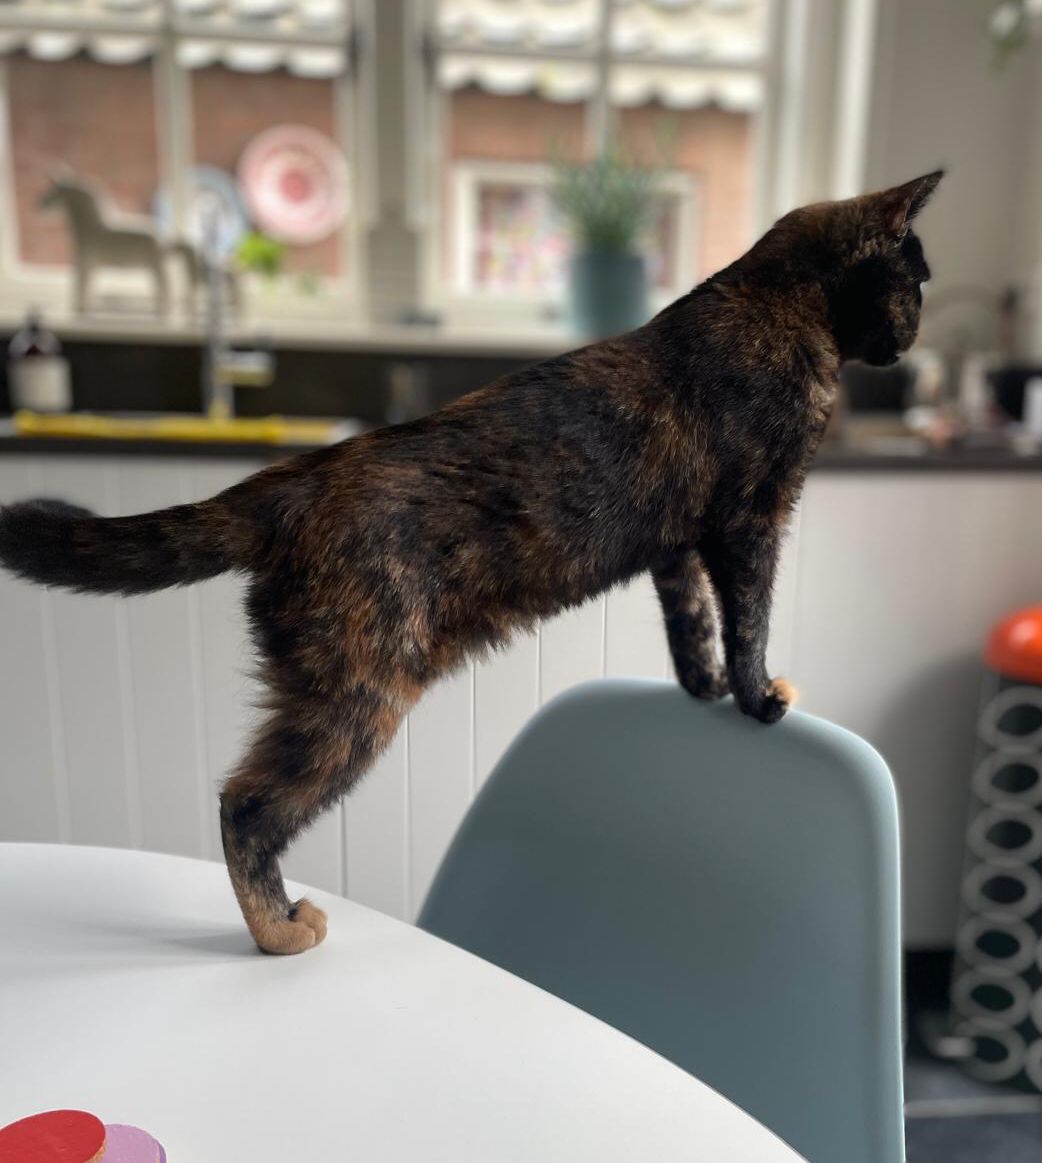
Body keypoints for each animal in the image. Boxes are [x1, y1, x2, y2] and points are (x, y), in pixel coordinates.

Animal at [0, 171, 942, 955]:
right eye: (919, 279)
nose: (915, 340)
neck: (777, 299)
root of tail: (293, 477)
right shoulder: (753, 521)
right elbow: (748, 617)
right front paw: (756, 697)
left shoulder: (678, 547)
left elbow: (693, 623)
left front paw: (704, 687)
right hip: (358, 695)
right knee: (247, 804)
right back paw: (279, 929)